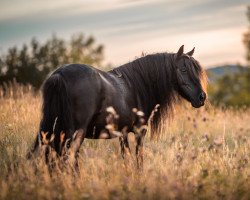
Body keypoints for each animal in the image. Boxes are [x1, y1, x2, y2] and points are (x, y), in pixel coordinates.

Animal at [30, 45, 207, 167]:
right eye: (183, 69)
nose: (202, 97)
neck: (136, 85)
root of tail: (59, 75)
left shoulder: (123, 134)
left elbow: (126, 158)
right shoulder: (139, 132)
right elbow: (139, 160)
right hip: (73, 134)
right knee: (68, 159)